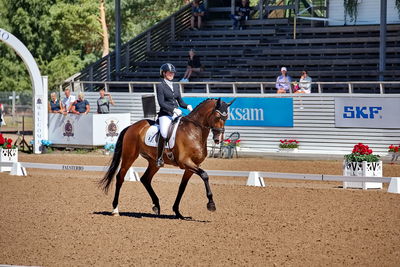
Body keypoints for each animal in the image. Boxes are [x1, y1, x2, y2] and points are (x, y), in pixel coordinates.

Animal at [99, 98, 234, 220]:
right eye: (218, 117)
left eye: (226, 118)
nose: (218, 139)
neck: (194, 132)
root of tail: (132, 126)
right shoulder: (186, 162)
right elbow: (205, 175)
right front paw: (211, 204)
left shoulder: (192, 166)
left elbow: (182, 187)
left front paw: (178, 212)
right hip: (129, 156)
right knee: (120, 177)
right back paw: (115, 209)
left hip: (154, 162)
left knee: (145, 179)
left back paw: (156, 205)